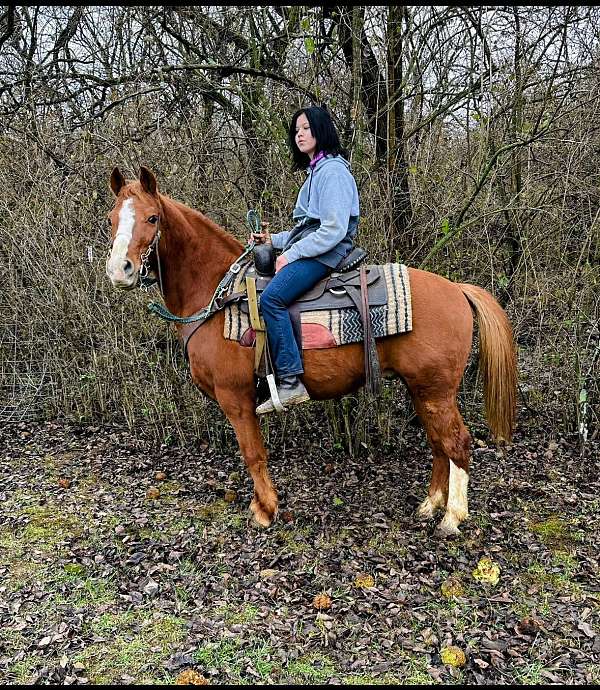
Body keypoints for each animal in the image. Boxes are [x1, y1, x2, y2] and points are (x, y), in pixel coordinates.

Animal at [104, 167, 516, 536]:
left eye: (152, 217)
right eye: (112, 219)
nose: (120, 270)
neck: (217, 295)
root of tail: (457, 289)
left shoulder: (235, 399)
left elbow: (253, 453)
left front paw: (265, 509)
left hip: (436, 392)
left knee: (456, 443)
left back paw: (452, 518)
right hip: (424, 391)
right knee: (438, 444)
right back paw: (430, 505)